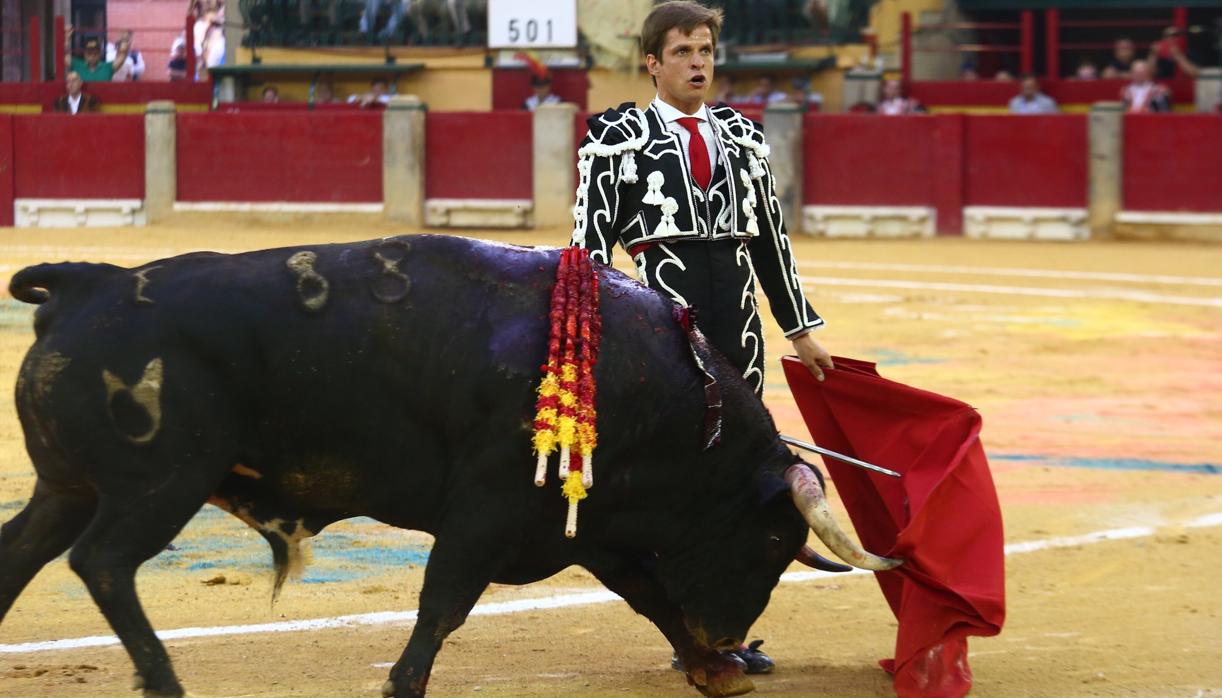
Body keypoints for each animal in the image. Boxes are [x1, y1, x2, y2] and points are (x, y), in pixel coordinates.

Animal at [0, 235, 899, 698]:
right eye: (771, 543)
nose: (732, 637)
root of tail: (86, 285)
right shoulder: (488, 512)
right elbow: (443, 604)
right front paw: (402, 684)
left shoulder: (586, 527)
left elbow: (649, 595)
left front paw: (714, 671)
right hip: (162, 483)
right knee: (103, 562)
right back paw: (164, 681)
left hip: (67, 486)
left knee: (24, 553)